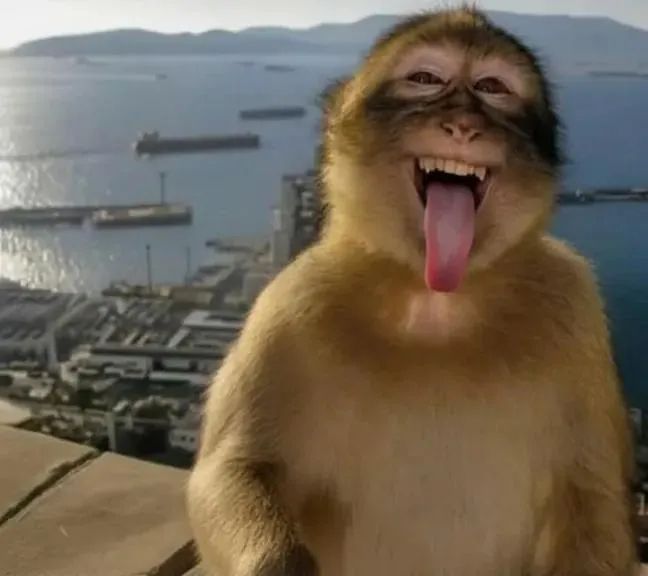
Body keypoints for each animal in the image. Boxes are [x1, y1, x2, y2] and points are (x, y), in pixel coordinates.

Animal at [187, 7, 638, 576]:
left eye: (493, 88)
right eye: (425, 78)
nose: (464, 125)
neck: (436, 298)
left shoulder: (574, 302)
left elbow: (593, 493)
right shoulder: (290, 305)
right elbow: (233, 469)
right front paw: (279, 562)